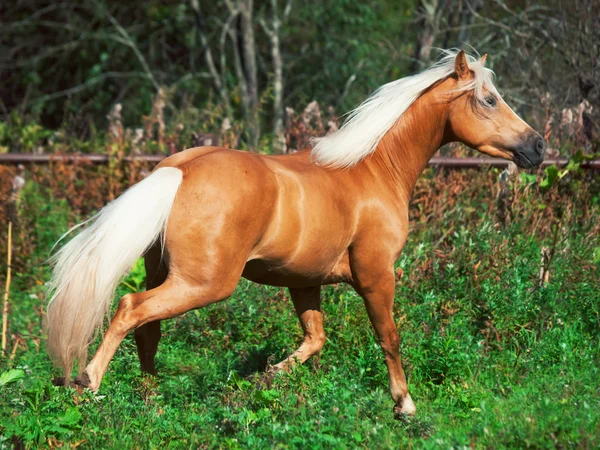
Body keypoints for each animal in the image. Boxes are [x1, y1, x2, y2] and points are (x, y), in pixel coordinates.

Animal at [47, 49, 544, 414]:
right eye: (488, 99)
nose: (537, 146)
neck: (374, 170)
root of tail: (179, 170)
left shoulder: (304, 282)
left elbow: (314, 339)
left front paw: (266, 378)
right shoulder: (376, 275)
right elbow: (389, 336)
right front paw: (405, 405)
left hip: (169, 276)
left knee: (148, 329)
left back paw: (151, 400)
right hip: (203, 283)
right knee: (130, 309)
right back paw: (88, 384)